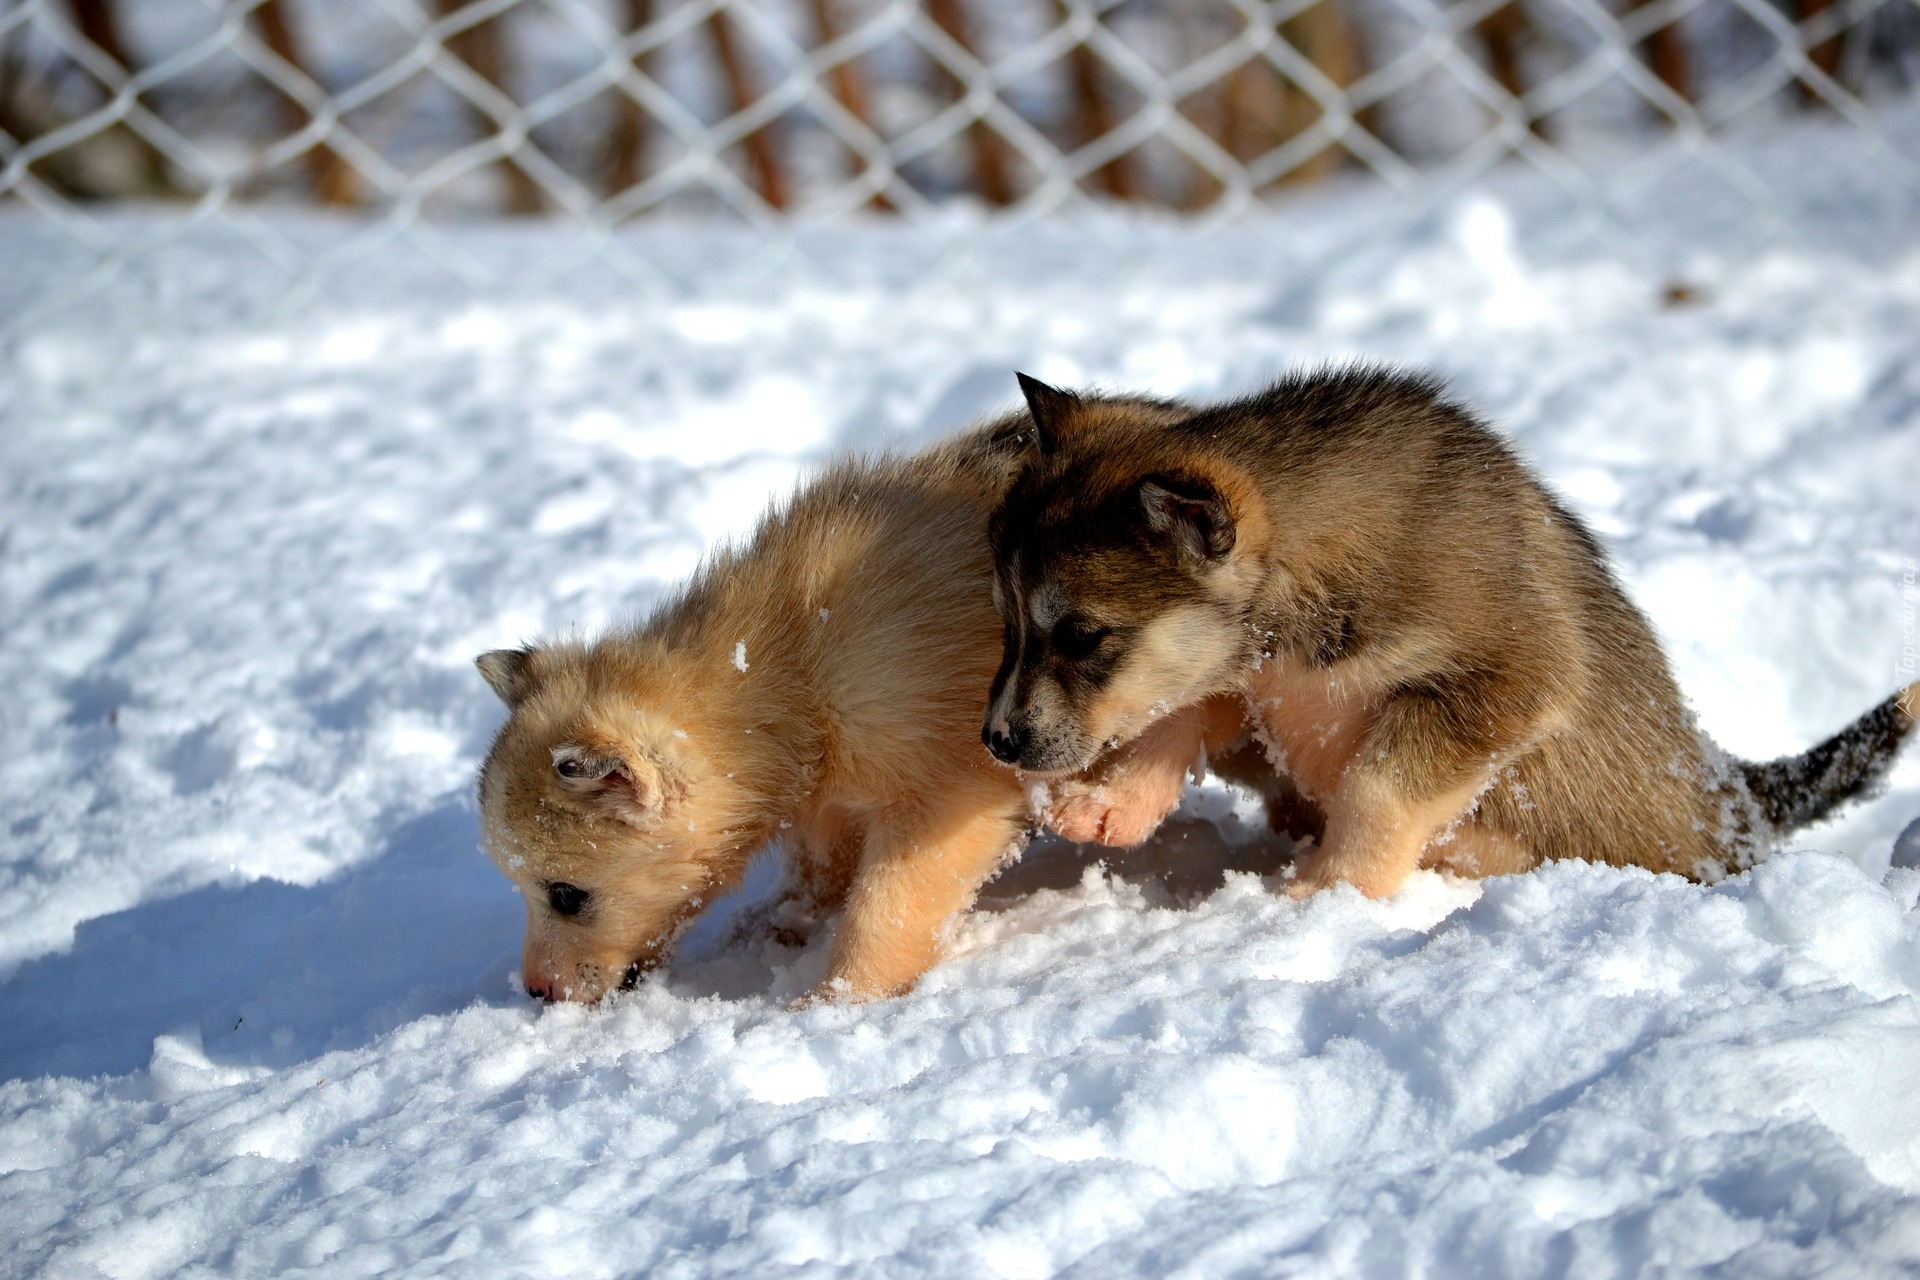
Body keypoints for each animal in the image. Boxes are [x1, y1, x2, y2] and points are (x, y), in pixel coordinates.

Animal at [480, 416, 1228, 1005]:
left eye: (566, 894)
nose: (538, 993)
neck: (794, 668)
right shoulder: (828, 799)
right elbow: (817, 877)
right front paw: (774, 930)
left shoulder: (951, 796)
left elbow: (886, 908)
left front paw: (831, 1003)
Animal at [990, 364, 1920, 898]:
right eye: (1009, 621)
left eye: (1081, 635)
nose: (995, 742)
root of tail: (1736, 792)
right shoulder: (1248, 679)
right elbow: (1173, 714)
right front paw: (1105, 806)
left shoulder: (1507, 680)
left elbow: (1377, 787)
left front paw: (1324, 893)